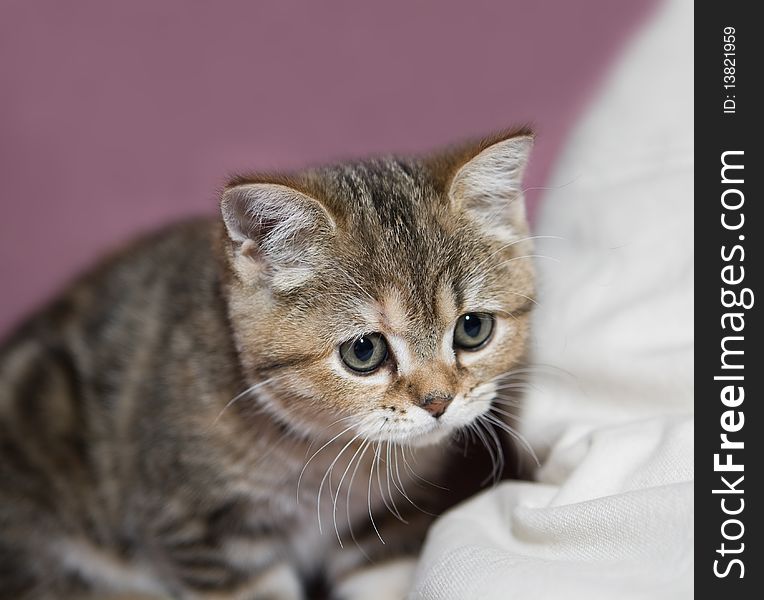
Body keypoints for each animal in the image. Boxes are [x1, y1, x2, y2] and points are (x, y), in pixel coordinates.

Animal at [0, 129, 536, 596]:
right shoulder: (205, 535)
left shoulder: (383, 525)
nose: (438, 402)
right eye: (364, 352)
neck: (324, 462)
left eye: (473, 329)